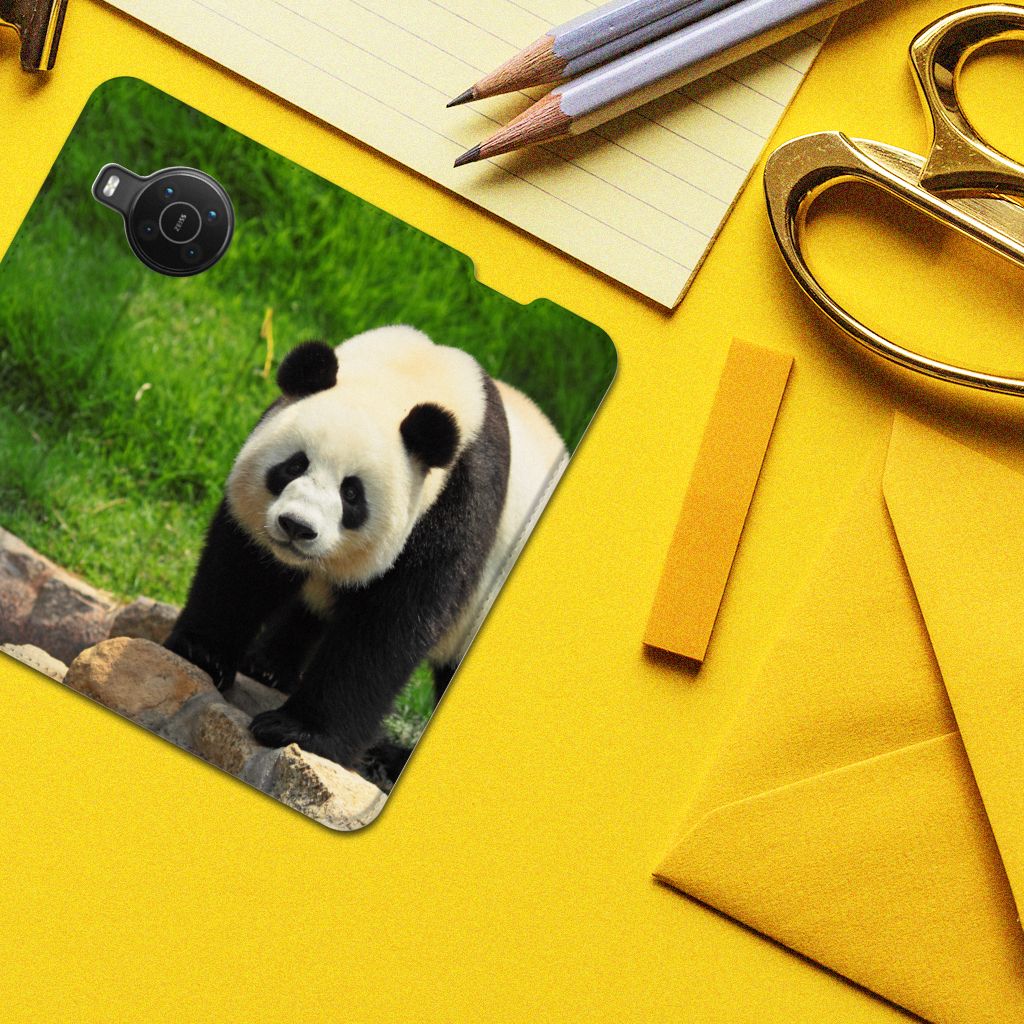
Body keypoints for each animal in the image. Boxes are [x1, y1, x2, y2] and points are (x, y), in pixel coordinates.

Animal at [166, 325, 568, 773]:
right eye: (294, 465)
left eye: (352, 493)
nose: (297, 527)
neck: (408, 377)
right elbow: (244, 567)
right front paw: (203, 653)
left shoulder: (457, 503)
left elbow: (390, 626)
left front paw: (297, 730)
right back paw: (269, 666)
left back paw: (390, 759)